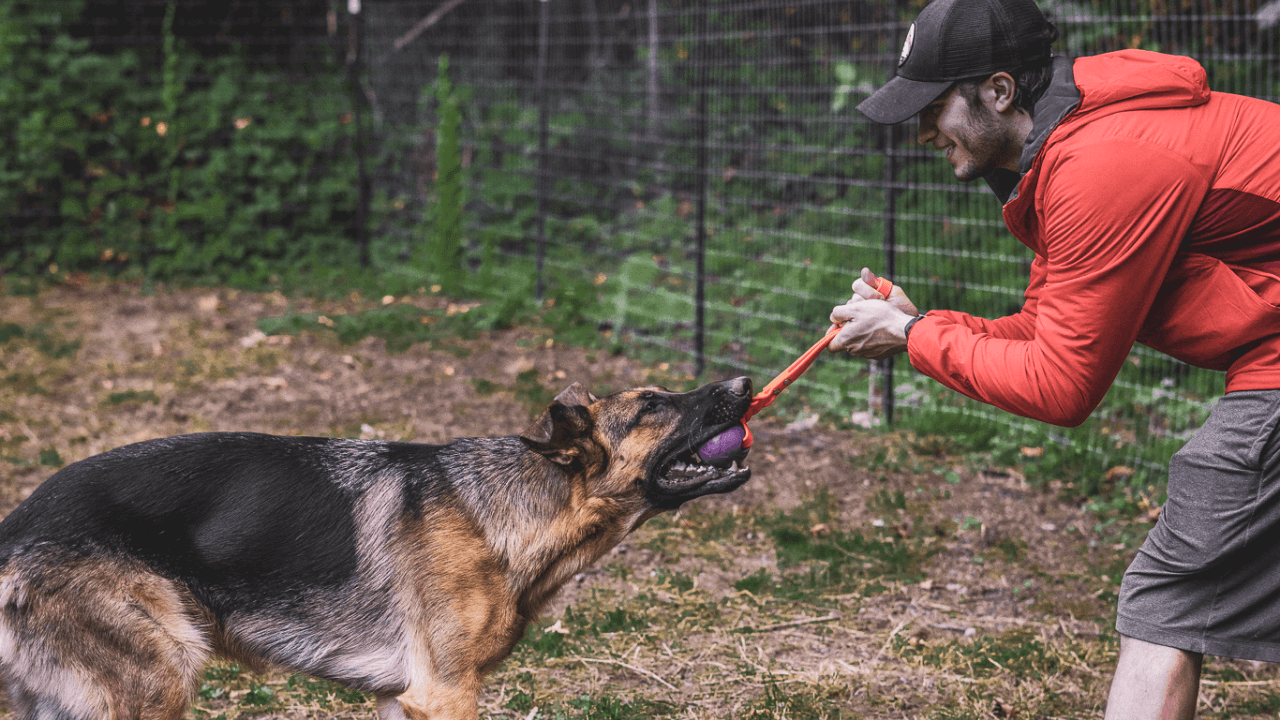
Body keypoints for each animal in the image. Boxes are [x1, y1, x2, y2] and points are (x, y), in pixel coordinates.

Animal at [0, 376, 752, 717]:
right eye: (654, 404)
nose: (742, 383)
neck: (510, 509)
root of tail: (16, 528)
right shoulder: (445, 693)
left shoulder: (405, 699)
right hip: (156, 683)